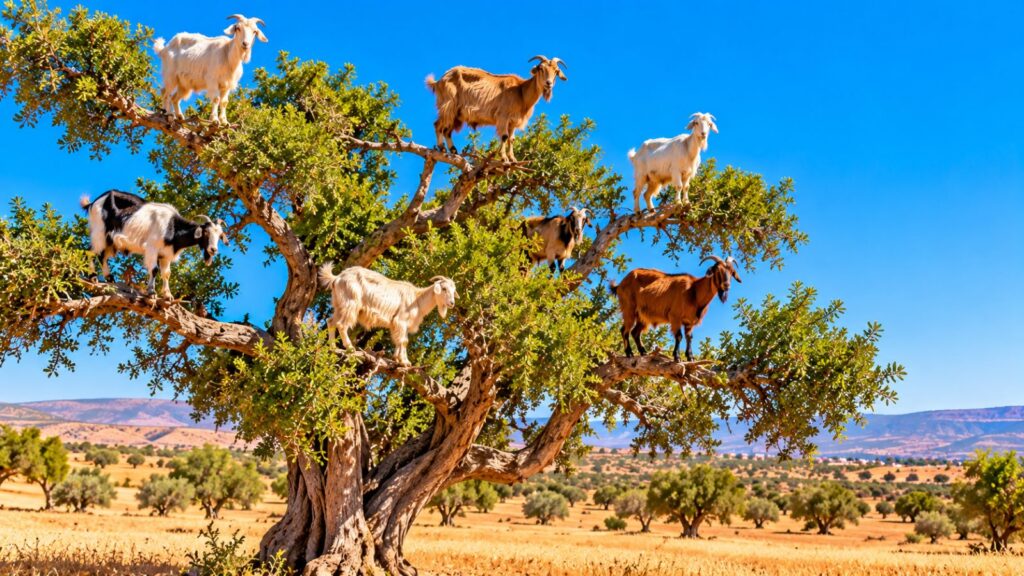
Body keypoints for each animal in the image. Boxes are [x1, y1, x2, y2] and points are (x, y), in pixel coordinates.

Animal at [80, 193, 228, 299]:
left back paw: (110, 279)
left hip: (111, 241)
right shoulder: (152, 248)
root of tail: (93, 203)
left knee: (102, 256)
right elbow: (154, 269)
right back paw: (93, 277)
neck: (172, 227)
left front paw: (168, 295)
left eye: (220, 235)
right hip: (99, 233)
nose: (213, 250)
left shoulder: (165, 255)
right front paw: (151, 292)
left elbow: (166, 273)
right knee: (90, 252)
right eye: (206, 232)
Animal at [318, 264, 458, 365]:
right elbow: (404, 341)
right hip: (350, 303)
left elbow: (398, 340)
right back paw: (350, 348)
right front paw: (405, 362)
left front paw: (397, 359)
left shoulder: (398, 324)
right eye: (444, 289)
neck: (417, 300)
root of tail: (337, 278)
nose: (452, 303)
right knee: (342, 324)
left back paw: (332, 347)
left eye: (453, 290)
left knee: (331, 321)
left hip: (339, 305)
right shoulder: (401, 321)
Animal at [425, 55, 568, 162]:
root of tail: (438, 81)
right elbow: (504, 136)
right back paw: (442, 148)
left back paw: (453, 150)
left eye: (556, 71)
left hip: (456, 114)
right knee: (439, 126)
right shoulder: (503, 117)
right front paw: (504, 158)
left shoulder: (512, 122)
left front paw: (513, 159)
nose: (548, 83)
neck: (521, 91)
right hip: (449, 106)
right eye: (541, 69)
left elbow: (511, 139)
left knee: (445, 129)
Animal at [609, 256, 741, 362]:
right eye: (717, 270)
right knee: (624, 330)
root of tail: (620, 285)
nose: (726, 285)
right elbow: (679, 336)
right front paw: (677, 357)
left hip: (642, 316)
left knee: (635, 332)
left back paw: (643, 352)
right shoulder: (675, 317)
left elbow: (689, 337)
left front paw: (690, 357)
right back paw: (629, 353)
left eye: (731, 272)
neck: (694, 291)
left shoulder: (689, 321)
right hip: (629, 309)